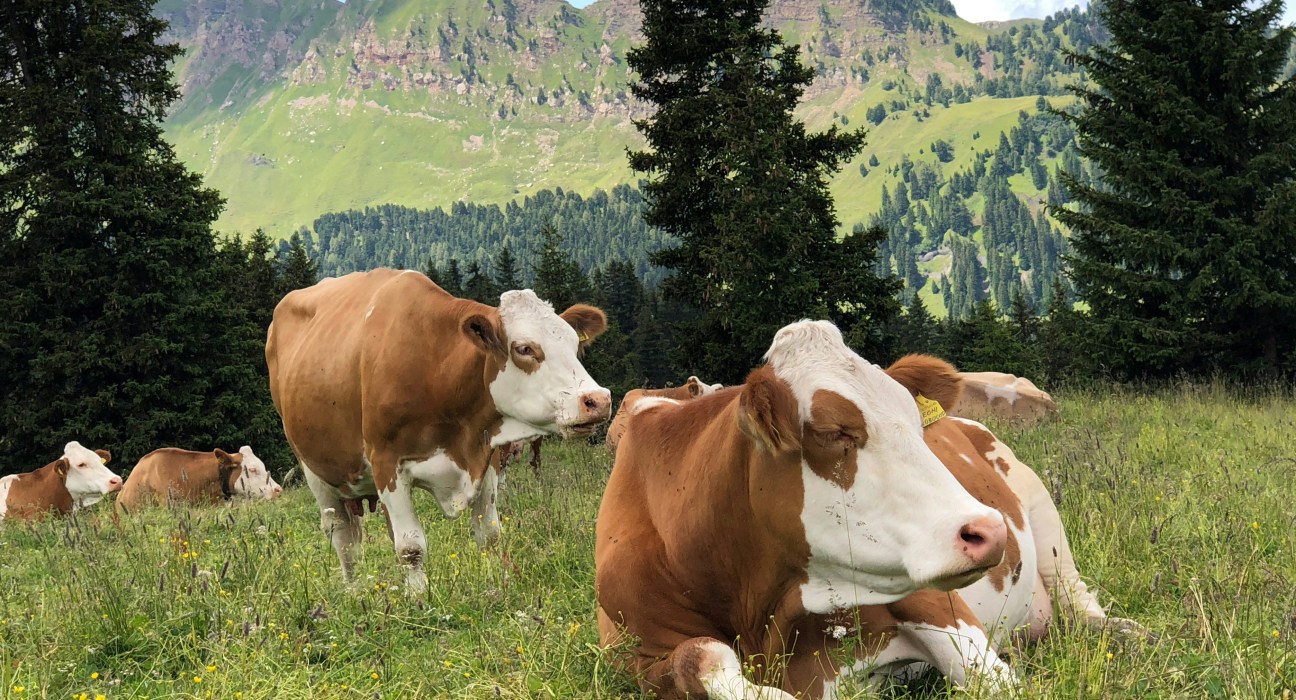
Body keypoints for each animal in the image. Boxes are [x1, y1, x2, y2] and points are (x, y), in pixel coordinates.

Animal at [267, 269, 611, 593]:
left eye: (573, 343)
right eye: (524, 348)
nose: (598, 400)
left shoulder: (485, 457)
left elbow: (489, 534)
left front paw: (496, 588)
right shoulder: (386, 463)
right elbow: (410, 548)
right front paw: (420, 600)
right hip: (316, 471)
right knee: (344, 538)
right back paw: (355, 591)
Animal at [595, 323, 1139, 698]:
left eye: (915, 423)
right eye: (834, 432)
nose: (989, 529)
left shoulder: (932, 600)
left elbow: (990, 679)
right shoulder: (629, 652)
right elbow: (696, 657)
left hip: (1043, 514)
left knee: (1078, 601)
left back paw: (1129, 632)